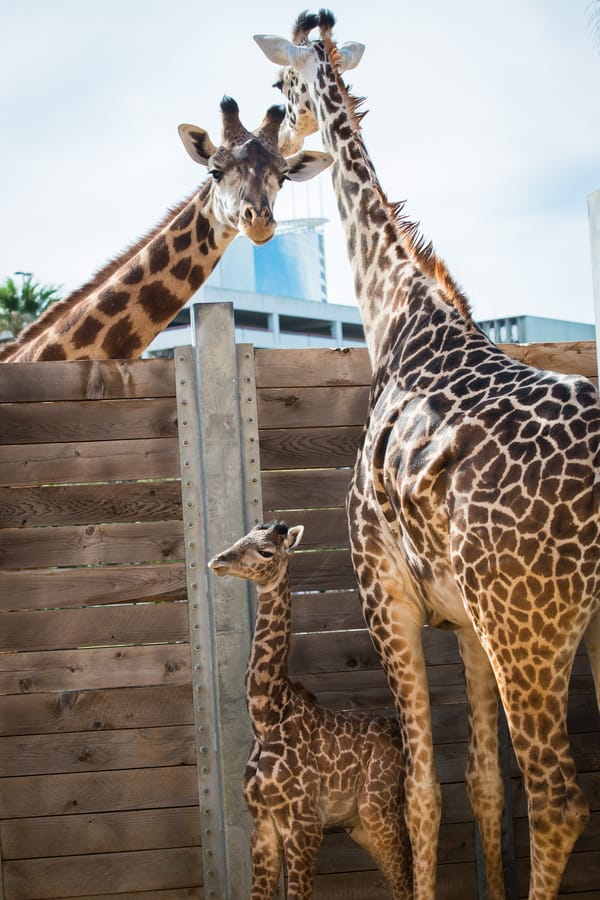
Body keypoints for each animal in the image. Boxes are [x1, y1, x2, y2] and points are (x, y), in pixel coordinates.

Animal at [209, 520, 412, 899]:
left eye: (265, 551)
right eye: (241, 539)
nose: (218, 561)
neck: (267, 716)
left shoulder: (304, 823)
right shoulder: (262, 825)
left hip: (378, 810)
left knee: (408, 878)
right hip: (358, 824)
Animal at [255, 11, 600, 900]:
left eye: (279, 85)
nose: (280, 132)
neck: (396, 314)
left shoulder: (387, 595)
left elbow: (421, 794)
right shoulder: (465, 623)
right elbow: (480, 785)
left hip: (532, 625)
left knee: (559, 797)